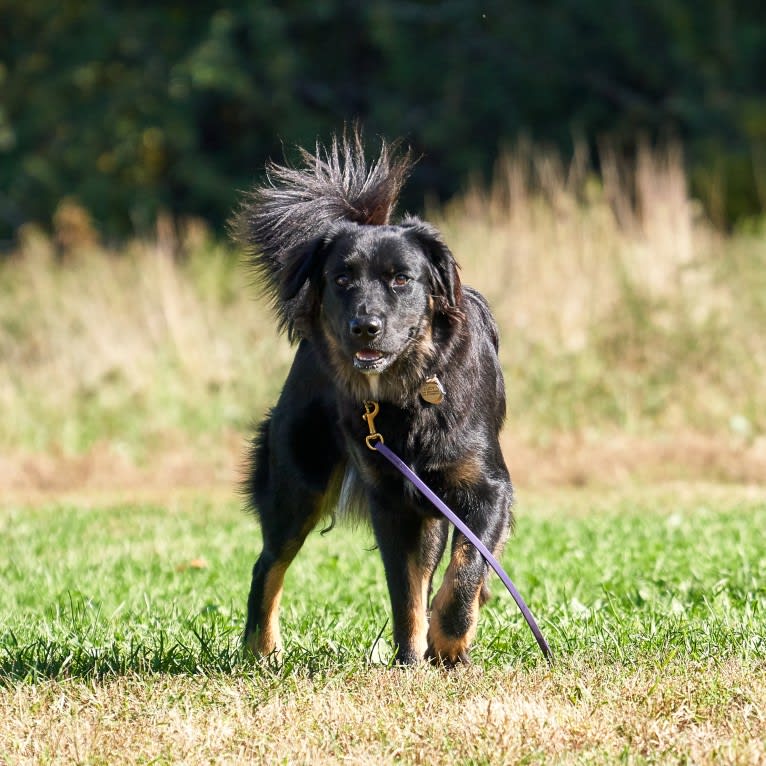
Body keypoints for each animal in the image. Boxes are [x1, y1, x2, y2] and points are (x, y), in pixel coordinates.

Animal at [237, 130, 512, 664]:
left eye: (401, 279)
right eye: (342, 279)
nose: (364, 326)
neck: (409, 391)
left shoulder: (487, 488)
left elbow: (466, 569)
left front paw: (448, 644)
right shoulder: (392, 500)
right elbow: (405, 591)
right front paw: (412, 658)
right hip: (298, 483)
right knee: (268, 564)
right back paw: (262, 649)